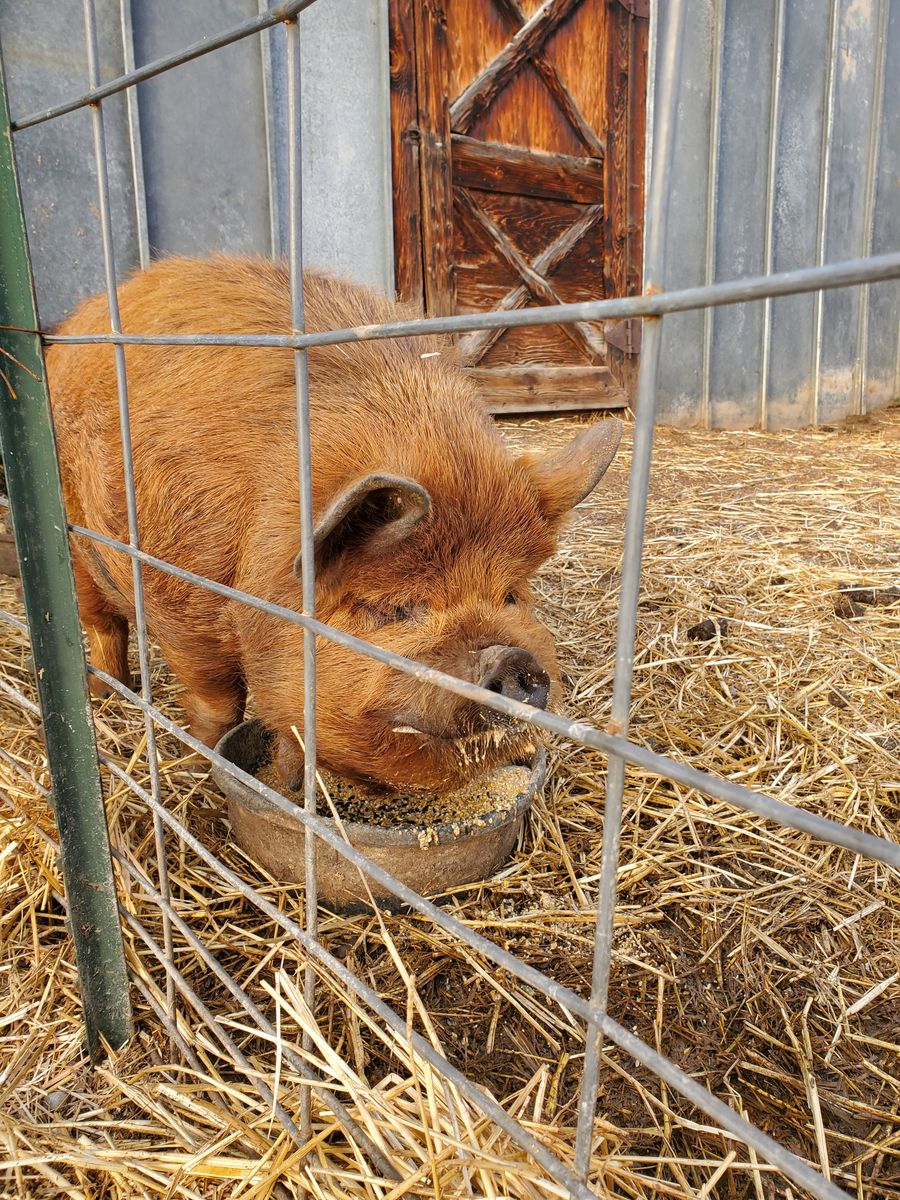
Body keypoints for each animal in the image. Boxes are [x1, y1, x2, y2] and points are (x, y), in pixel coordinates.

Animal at [46, 256, 621, 792]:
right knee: (100, 623)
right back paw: (105, 692)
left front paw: (295, 782)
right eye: (394, 609)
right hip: (73, 540)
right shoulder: (179, 602)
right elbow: (219, 700)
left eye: (511, 596)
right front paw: (203, 763)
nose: (514, 659)